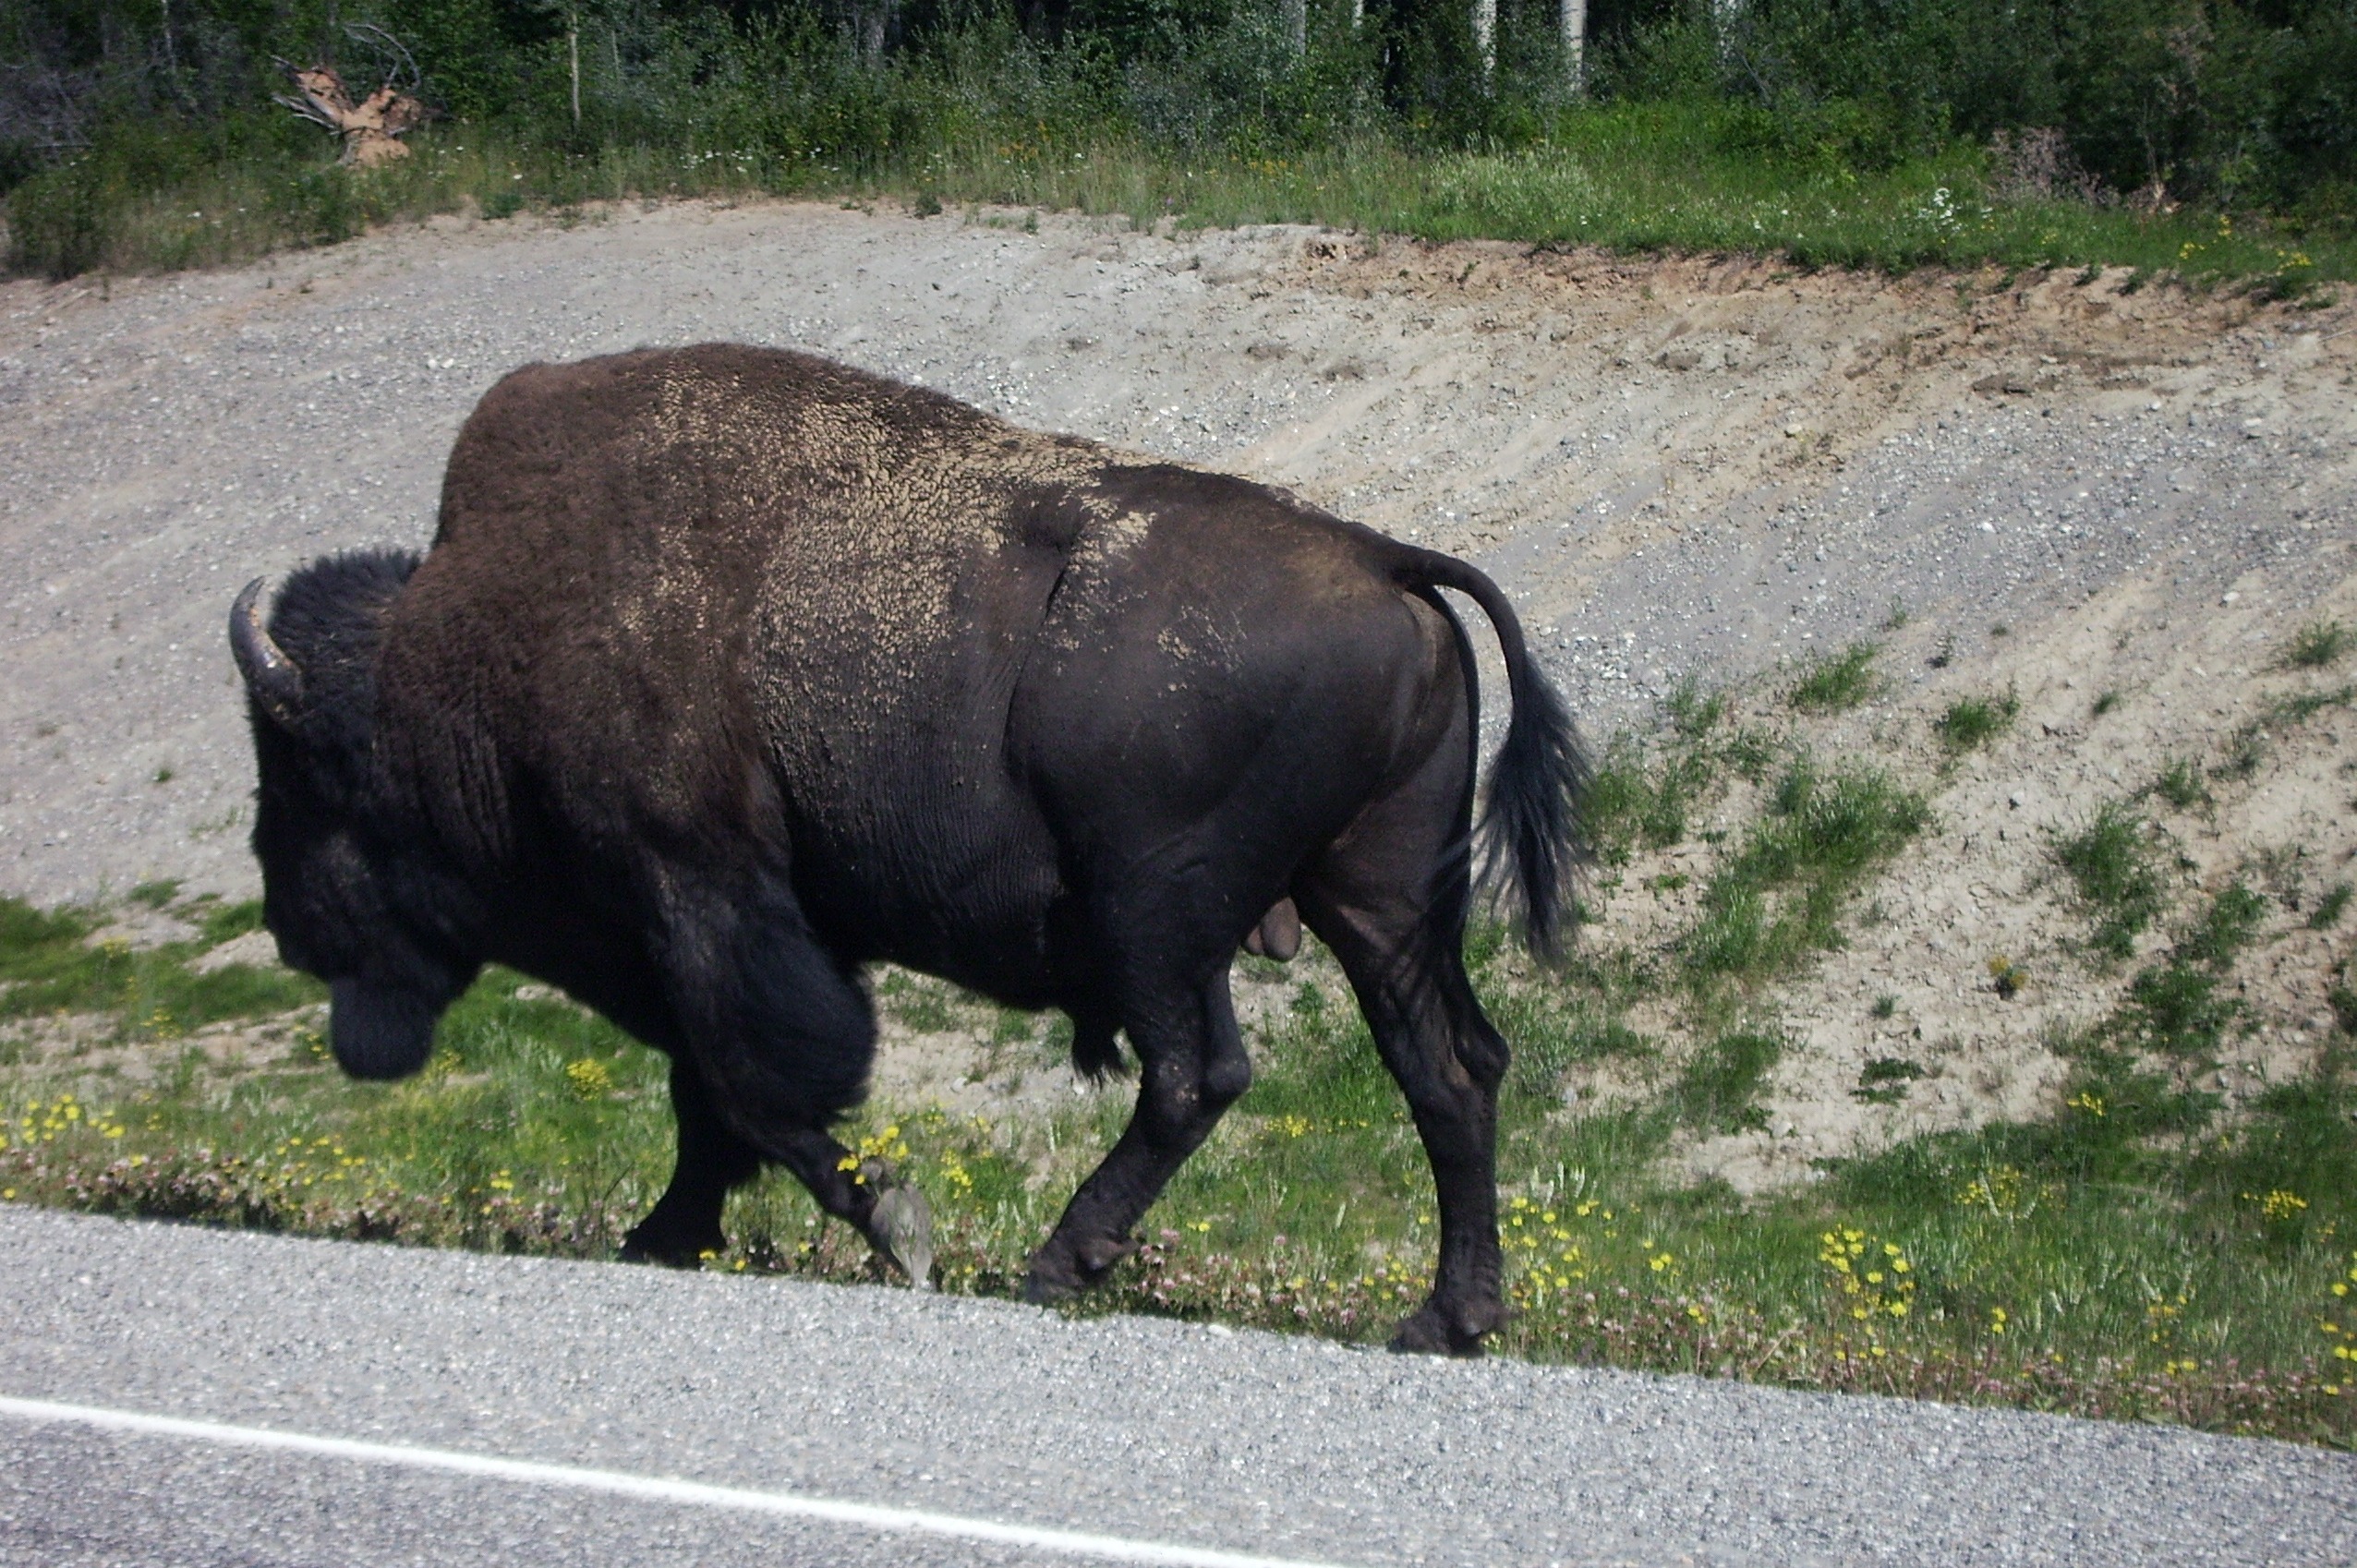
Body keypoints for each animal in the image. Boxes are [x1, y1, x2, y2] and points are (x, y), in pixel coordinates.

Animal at [231, 343, 1585, 1353]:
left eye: (298, 783)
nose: (288, 927)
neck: (467, 653)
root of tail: (1382, 558)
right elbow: (712, 1098)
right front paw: (667, 1236)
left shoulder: (698, 898)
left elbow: (748, 1085)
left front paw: (891, 1223)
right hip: (1374, 900)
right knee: (1445, 1070)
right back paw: (1444, 1320)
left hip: (1159, 910)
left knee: (1198, 1074)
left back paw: (1055, 1263)